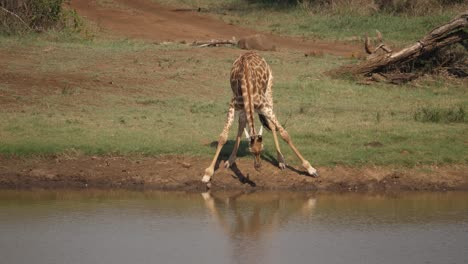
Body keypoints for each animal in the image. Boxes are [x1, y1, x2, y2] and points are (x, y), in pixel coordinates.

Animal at [201, 51, 318, 184]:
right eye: (251, 151)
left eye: (262, 149)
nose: (258, 166)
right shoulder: (233, 106)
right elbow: (222, 137)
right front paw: (208, 173)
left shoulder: (265, 107)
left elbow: (284, 134)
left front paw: (310, 169)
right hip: (244, 109)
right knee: (242, 125)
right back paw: (230, 160)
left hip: (269, 90)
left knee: (271, 125)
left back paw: (281, 160)